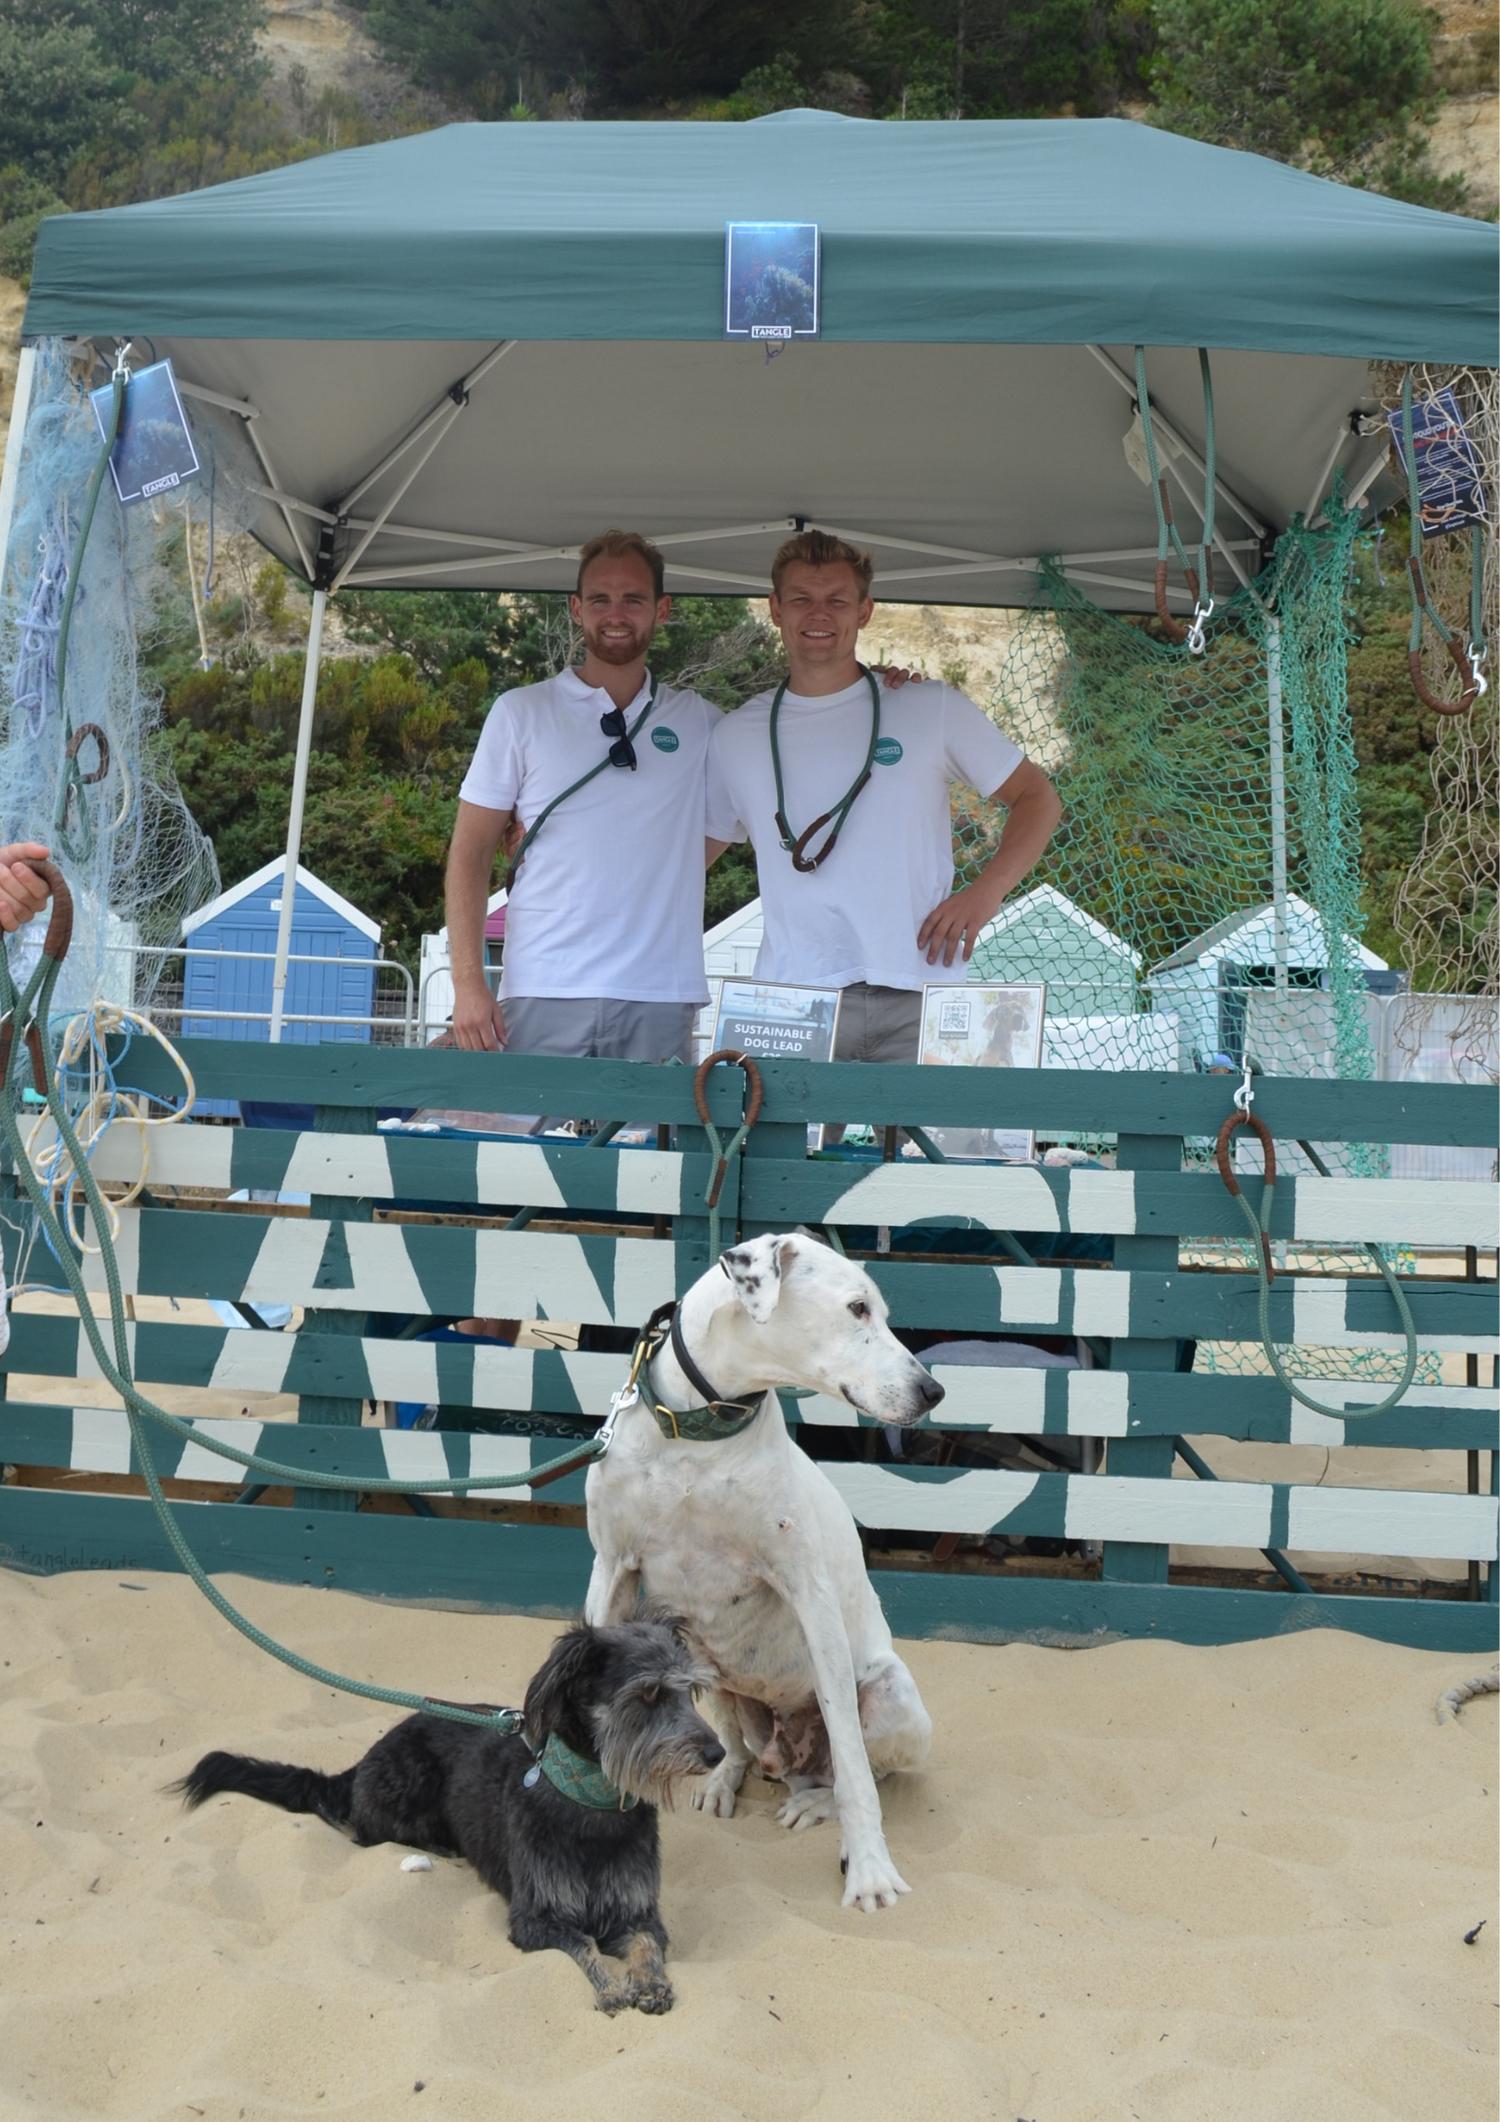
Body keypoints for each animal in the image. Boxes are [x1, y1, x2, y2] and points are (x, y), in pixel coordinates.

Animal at [172, 1612, 725, 2011]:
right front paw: (609, 1987)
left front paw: (649, 1983)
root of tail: (360, 1764)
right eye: (648, 1693)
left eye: (690, 1692)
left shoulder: (639, 1912)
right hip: (405, 1784)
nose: (717, 1753)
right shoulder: (534, 1918)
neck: (588, 1802)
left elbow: (646, 1944)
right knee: (364, 1831)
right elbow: (584, 1946)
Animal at [585, 1230, 946, 1909]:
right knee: (735, 1746)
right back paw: (724, 1778)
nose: (933, 1392)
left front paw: (869, 1869)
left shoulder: (811, 1597)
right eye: (858, 1308)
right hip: (709, 1672)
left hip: (894, 1698)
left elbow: (856, 1771)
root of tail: (791, 1761)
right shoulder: (611, 1573)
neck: (696, 1435)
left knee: (866, 1770)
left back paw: (816, 1804)